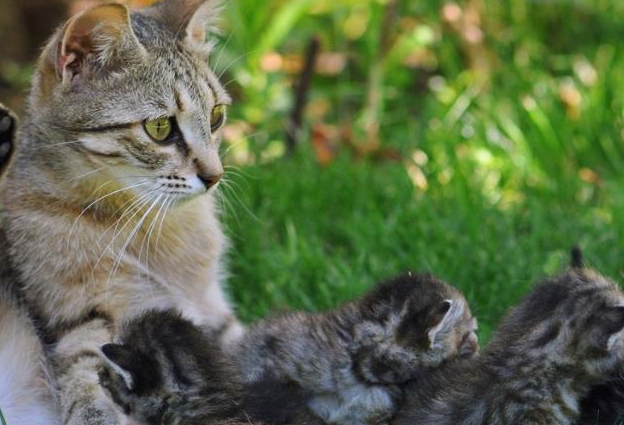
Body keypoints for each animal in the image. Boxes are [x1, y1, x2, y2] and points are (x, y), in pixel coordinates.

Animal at [0, 1, 243, 422]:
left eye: (215, 116)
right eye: (160, 127)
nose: (214, 176)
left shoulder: (213, 309)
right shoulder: (75, 323)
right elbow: (86, 383)